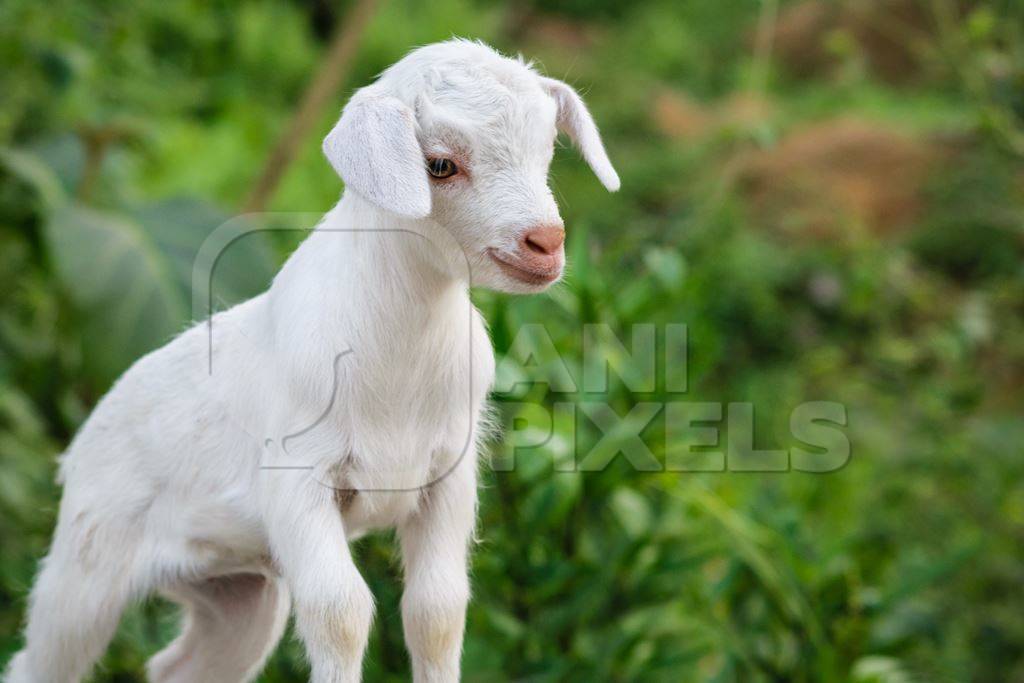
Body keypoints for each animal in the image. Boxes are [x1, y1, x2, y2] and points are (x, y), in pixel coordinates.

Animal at [4, 38, 614, 683]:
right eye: (440, 165)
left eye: (546, 150)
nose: (546, 243)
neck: (398, 358)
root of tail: (77, 450)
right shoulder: (298, 480)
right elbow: (339, 612)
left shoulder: (447, 476)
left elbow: (437, 612)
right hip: (87, 565)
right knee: (40, 659)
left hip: (239, 591)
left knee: (179, 665)